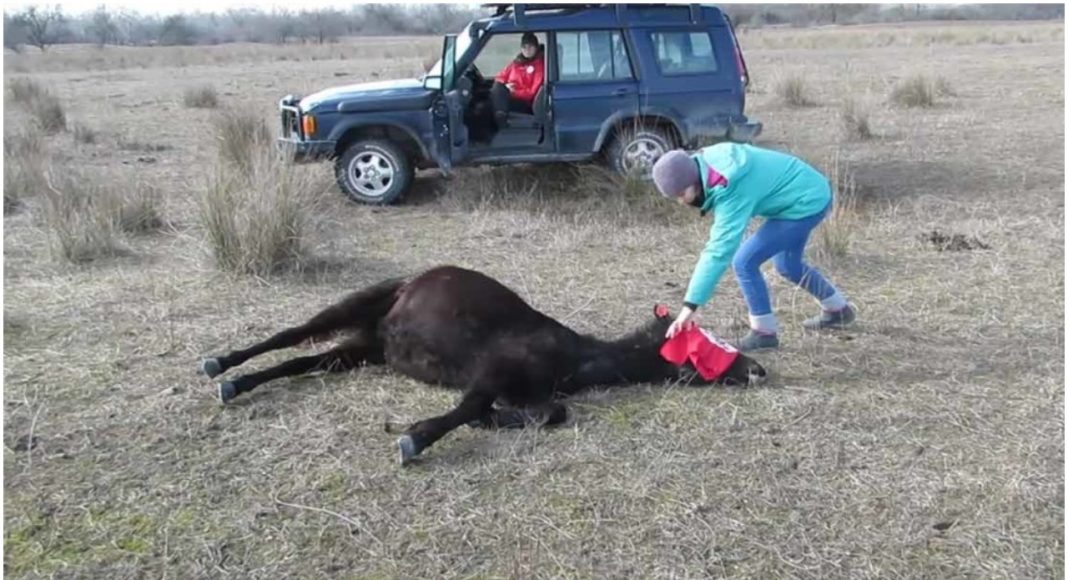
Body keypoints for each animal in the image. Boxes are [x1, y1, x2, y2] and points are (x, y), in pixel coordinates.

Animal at [198, 267, 768, 463]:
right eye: (700, 343)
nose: (757, 370)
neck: (574, 355)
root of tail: (411, 283)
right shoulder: (492, 370)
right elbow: (471, 405)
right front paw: (415, 438)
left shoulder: (528, 389)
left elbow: (548, 412)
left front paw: (501, 419)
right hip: (356, 310)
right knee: (291, 335)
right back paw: (220, 365)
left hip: (367, 347)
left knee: (310, 359)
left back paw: (238, 384)